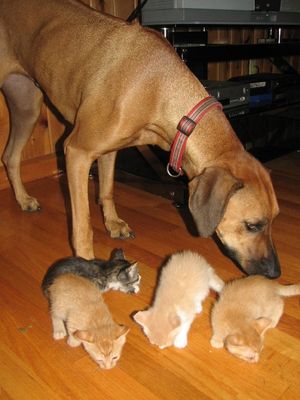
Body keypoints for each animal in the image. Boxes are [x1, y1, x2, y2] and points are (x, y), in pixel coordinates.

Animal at [0, 0, 278, 276]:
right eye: (253, 225)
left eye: (274, 218)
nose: (276, 272)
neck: (158, 87)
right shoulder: (78, 151)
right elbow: (82, 226)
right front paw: (86, 263)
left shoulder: (108, 149)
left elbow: (107, 189)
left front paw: (113, 223)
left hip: (27, 106)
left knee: (10, 156)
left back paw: (23, 200)